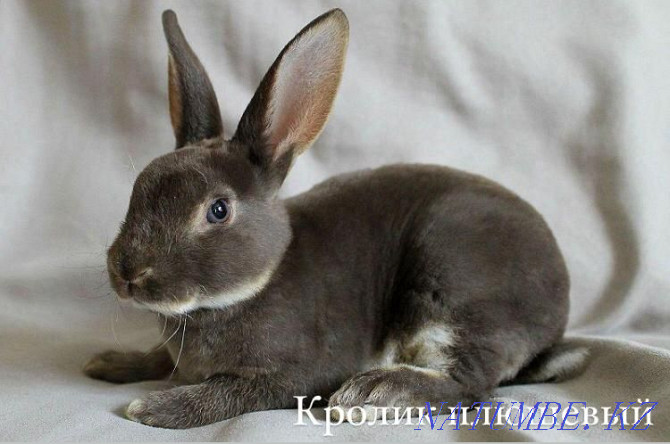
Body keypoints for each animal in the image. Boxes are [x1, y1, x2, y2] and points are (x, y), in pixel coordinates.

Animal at [82, 8, 588, 428]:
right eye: (139, 187)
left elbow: (230, 393)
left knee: (471, 385)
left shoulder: (293, 375)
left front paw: (155, 407)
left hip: (454, 284)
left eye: (218, 210)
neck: (252, 285)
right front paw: (110, 362)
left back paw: (371, 393)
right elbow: (160, 360)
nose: (127, 273)